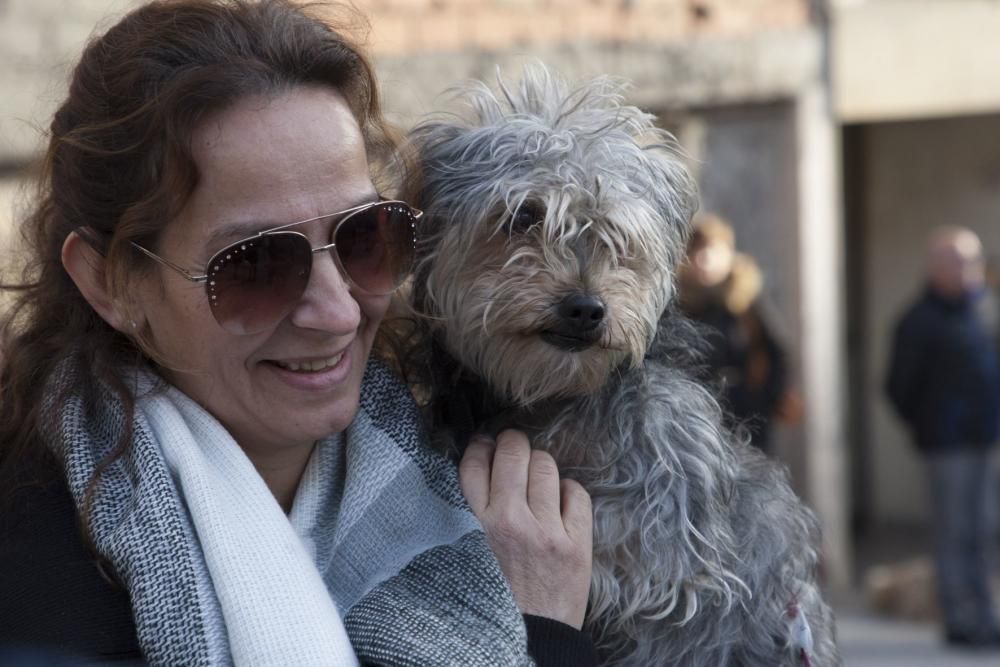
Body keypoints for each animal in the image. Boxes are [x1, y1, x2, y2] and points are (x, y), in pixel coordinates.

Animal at [386, 66, 840, 667]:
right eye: (523, 216)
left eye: (616, 236)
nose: (585, 308)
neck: (549, 397)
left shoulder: (663, 539)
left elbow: (623, 557)